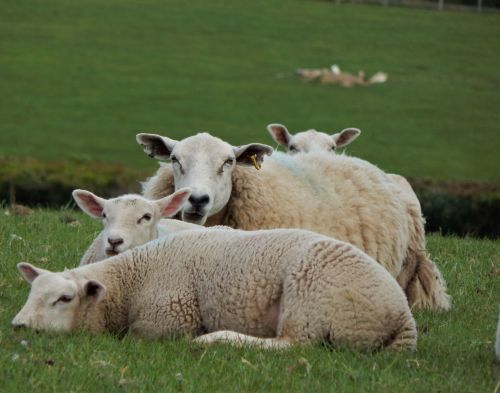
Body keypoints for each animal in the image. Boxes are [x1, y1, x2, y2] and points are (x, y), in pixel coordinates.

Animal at [11, 225, 418, 350]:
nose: (19, 327)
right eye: (32, 293)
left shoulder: (167, 320)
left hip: (310, 296)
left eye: (64, 298)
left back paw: (215, 339)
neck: (133, 280)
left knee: (292, 344)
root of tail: (404, 318)